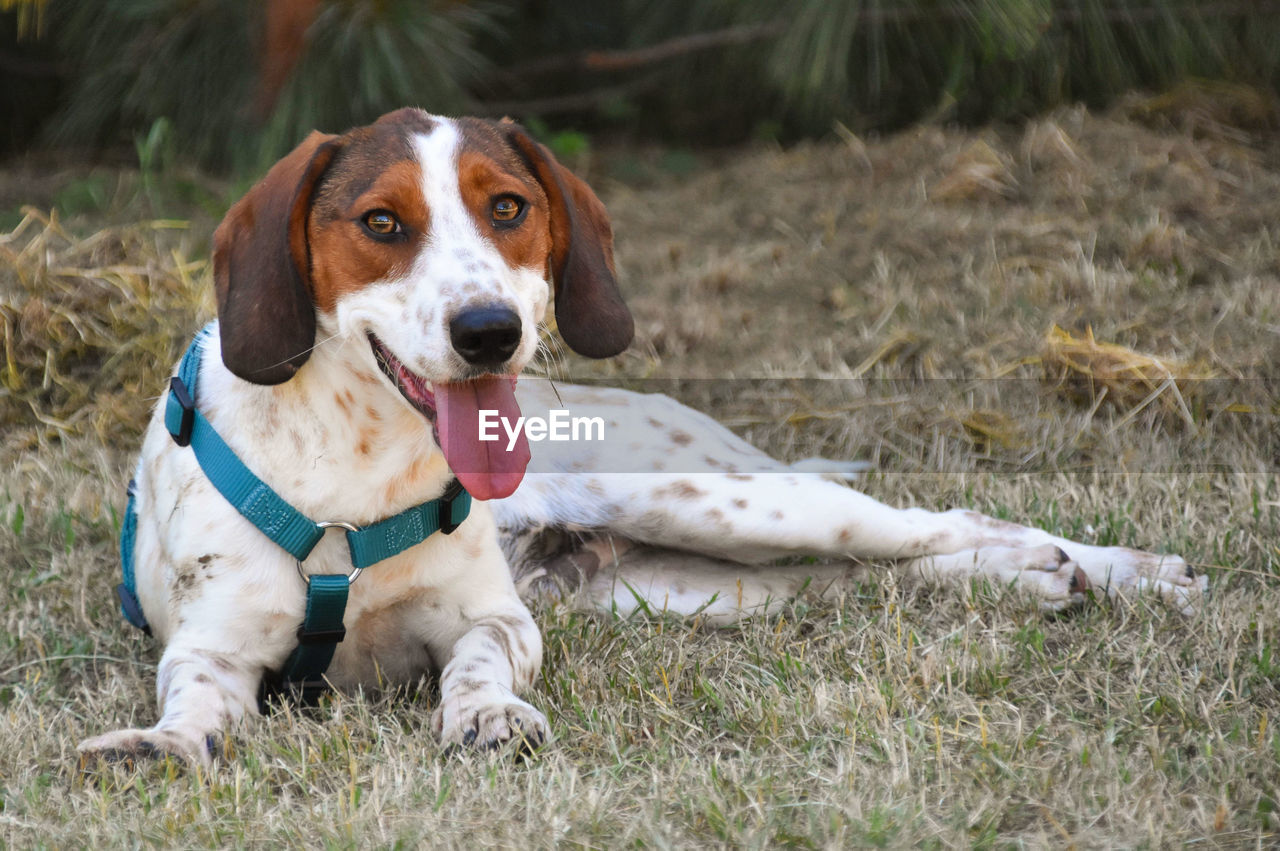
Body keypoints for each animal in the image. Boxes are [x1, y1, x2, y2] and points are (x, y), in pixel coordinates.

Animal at [77, 109, 1198, 767]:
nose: (490, 329)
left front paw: (485, 715)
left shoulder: (500, 620)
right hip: (679, 585)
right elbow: (194, 703)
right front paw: (162, 742)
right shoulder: (215, 645)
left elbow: (477, 665)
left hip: (726, 501)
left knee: (933, 522)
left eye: (508, 206)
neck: (357, 473)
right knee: (856, 578)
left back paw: (1114, 568)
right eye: (381, 223)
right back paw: (1043, 580)